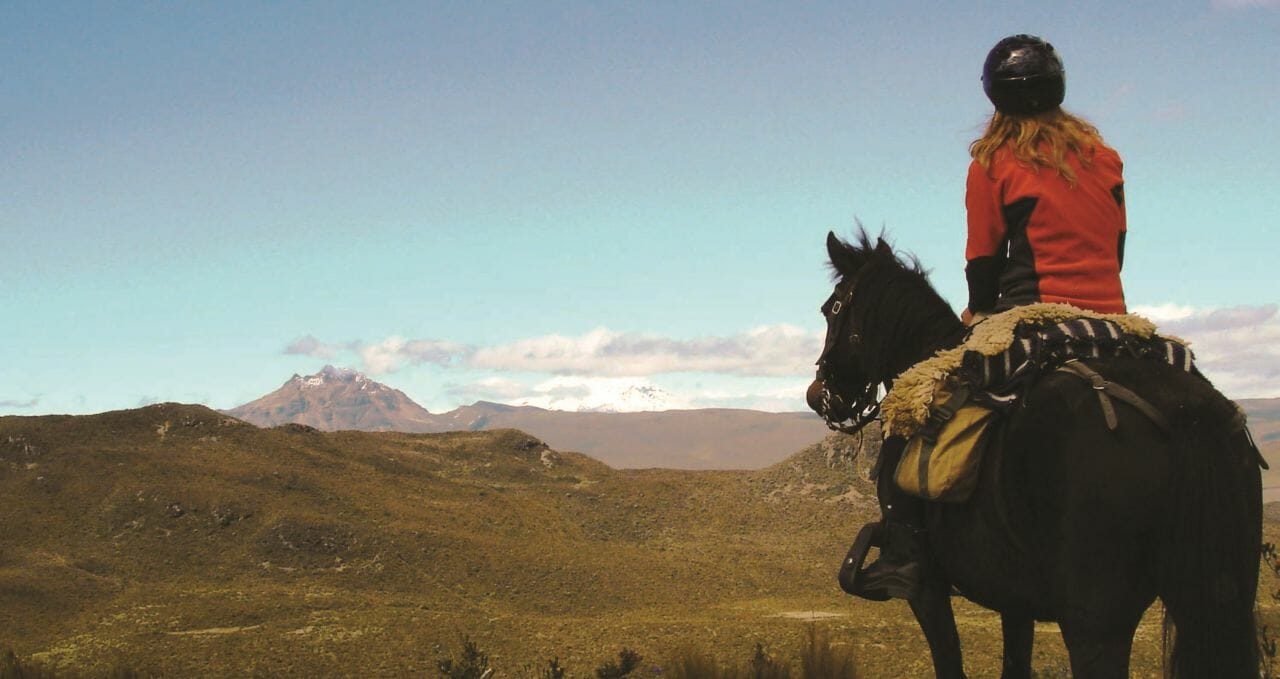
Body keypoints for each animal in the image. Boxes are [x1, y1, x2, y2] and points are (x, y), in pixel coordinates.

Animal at [808, 230, 1259, 676]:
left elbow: (949, 659)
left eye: (830, 309)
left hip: (1095, 621)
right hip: (1224, 599)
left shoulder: (927, 590)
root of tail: (1185, 411)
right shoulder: (1014, 598)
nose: (817, 395)